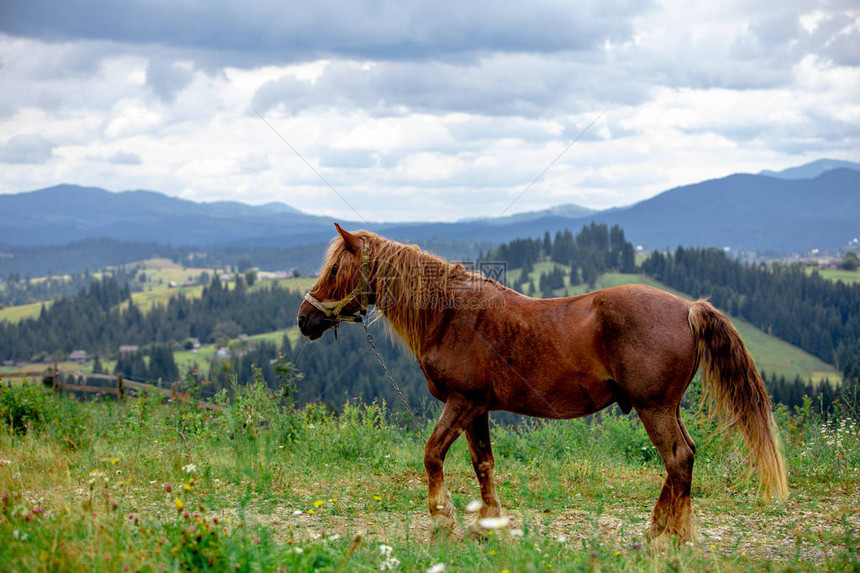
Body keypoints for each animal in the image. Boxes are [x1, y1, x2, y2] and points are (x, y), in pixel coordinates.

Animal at [298, 222, 788, 540]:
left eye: (336, 270)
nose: (304, 319)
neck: (451, 314)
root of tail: (688, 308)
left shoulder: (460, 402)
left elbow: (433, 455)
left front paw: (443, 522)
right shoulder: (477, 409)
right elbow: (483, 464)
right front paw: (488, 525)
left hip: (654, 408)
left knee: (678, 459)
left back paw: (671, 539)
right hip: (666, 407)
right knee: (683, 458)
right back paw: (657, 531)